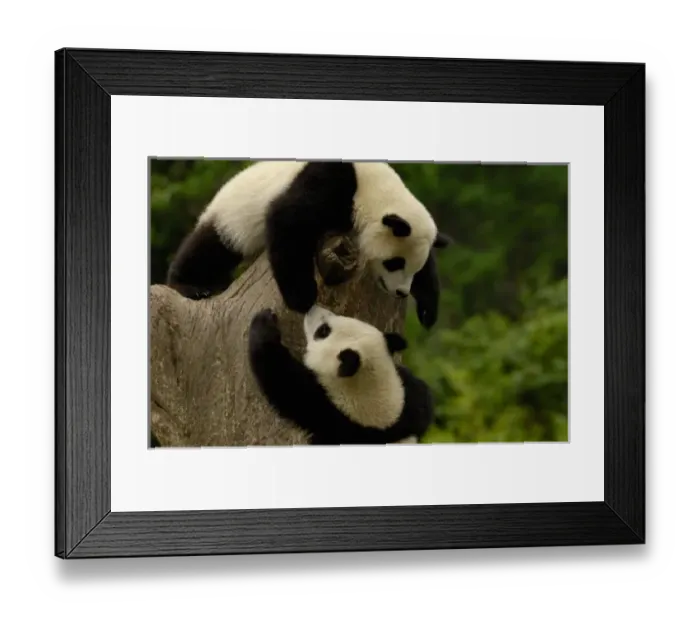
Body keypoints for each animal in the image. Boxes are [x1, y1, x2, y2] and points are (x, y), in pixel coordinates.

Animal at [166, 160, 451, 329]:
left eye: (412, 268)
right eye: (394, 263)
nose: (402, 292)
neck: (373, 191)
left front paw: (428, 309)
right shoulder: (334, 185)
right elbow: (288, 220)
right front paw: (302, 298)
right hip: (232, 217)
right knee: (211, 248)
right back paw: (192, 285)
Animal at [248, 305, 435, 445]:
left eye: (323, 331)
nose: (311, 308)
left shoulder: (328, 414)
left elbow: (282, 380)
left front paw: (264, 324)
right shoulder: (408, 409)